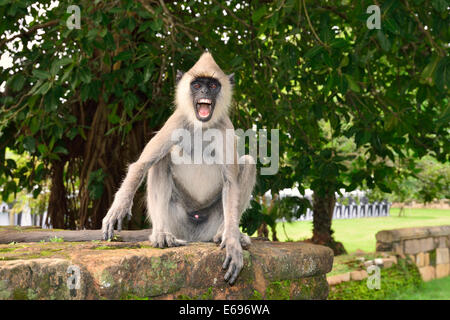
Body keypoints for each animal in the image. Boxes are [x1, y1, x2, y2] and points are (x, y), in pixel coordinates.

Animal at [102, 52, 256, 284]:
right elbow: (142, 164)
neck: (202, 126)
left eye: (212, 85)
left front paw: (232, 243)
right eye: (197, 85)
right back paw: (160, 234)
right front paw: (118, 208)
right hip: (176, 220)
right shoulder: (176, 121)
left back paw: (226, 234)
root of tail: (194, 236)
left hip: (211, 222)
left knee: (248, 162)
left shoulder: (225, 128)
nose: (204, 92)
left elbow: (231, 182)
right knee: (161, 161)